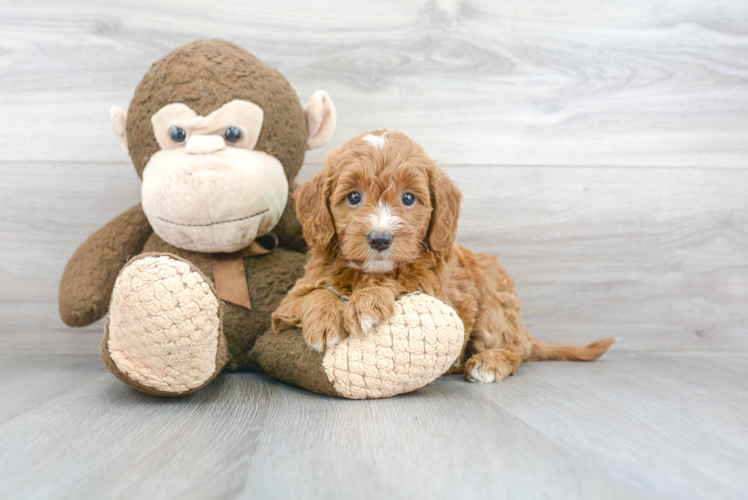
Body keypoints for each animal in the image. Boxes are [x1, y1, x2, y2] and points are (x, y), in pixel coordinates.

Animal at [272, 130, 616, 382]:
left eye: (408, 198)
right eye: (354, 197)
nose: (380, 239)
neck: (367, 270)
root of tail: (523, 330)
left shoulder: (434, 291)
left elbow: (398, 282)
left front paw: (366, 302)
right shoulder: (285, 307)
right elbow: (312, 296)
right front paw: (325, 320)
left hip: (493, 306)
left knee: (514, 350)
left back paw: (488, 363)